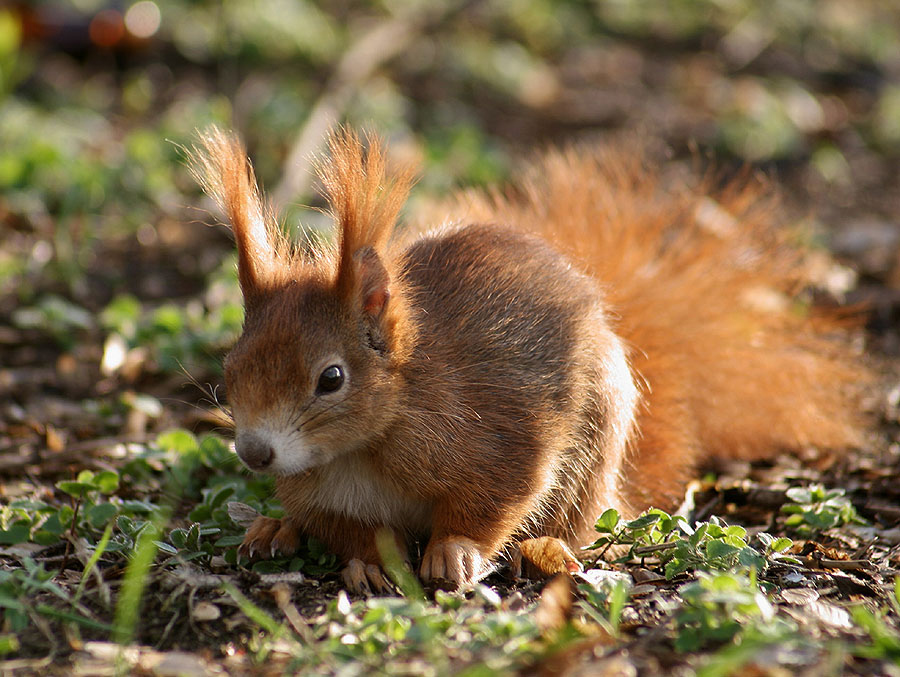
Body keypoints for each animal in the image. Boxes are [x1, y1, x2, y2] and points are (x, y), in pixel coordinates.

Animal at [188, 127, 864, 592]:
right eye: (229, 371)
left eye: (332, 378)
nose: (255, 453)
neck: (363, 447)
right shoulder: (318, 494)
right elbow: (349, 531)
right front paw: (366, 564)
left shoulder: (500, 436)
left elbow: (498, 498)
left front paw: (454, 551)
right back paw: (273, 528)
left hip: (594, 449)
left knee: (571, 522)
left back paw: (547, 550)